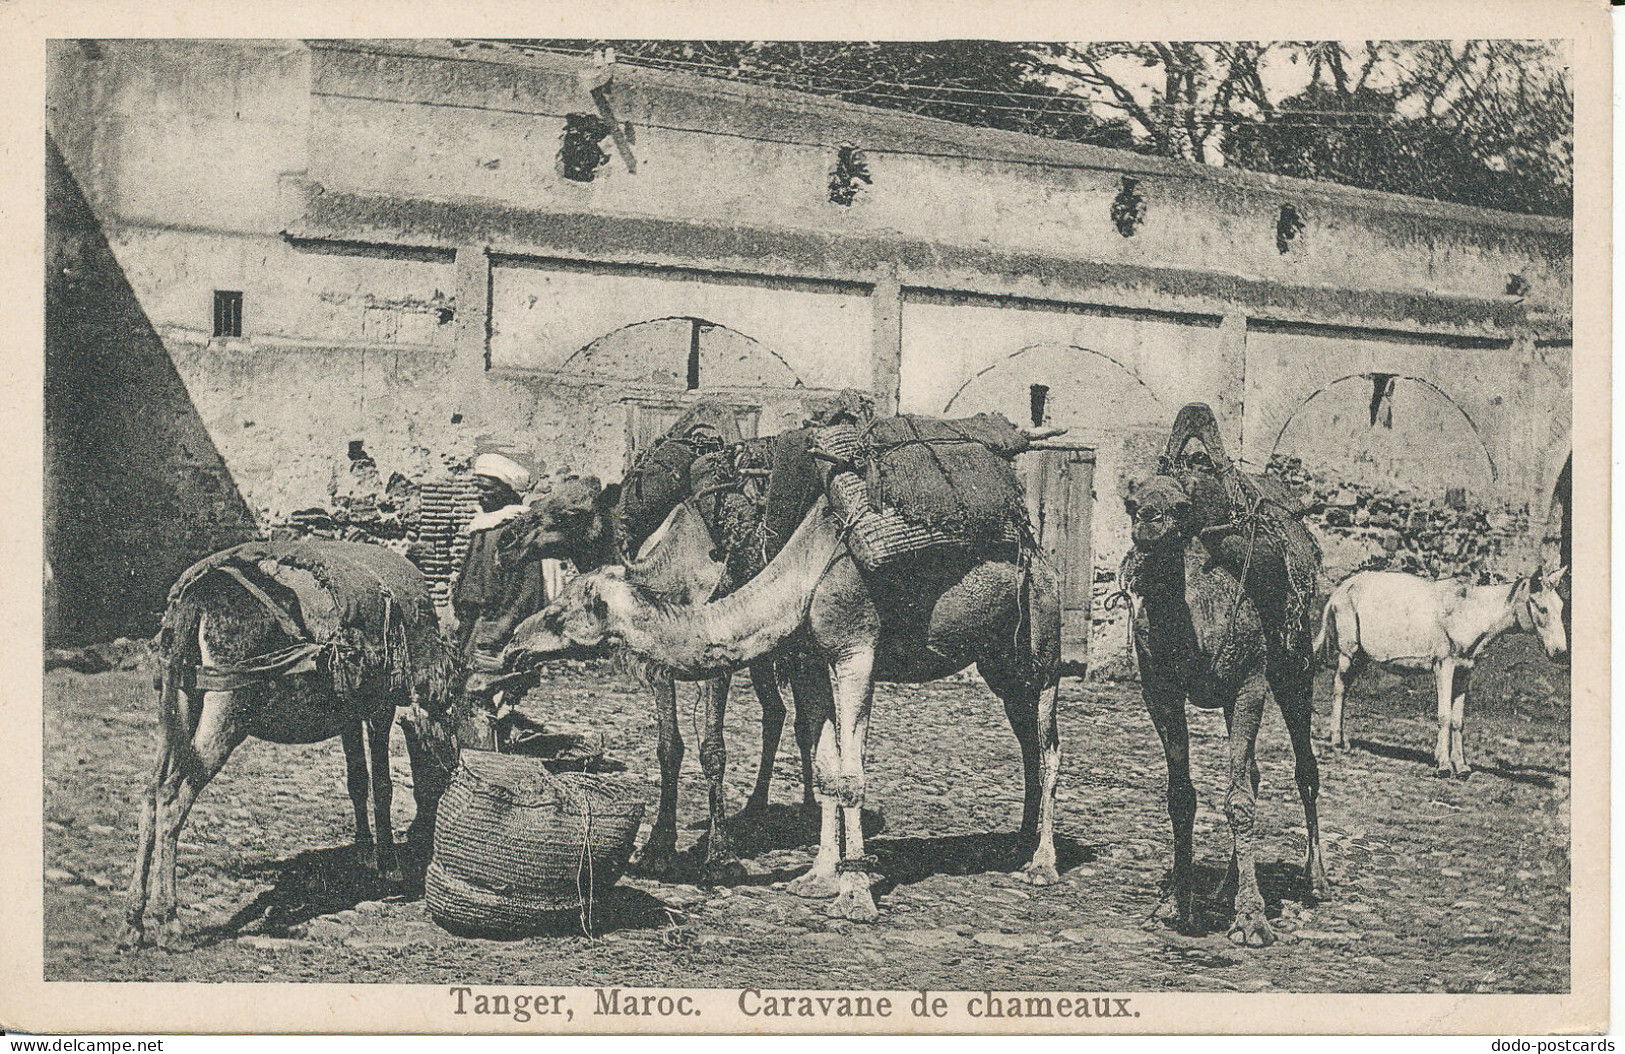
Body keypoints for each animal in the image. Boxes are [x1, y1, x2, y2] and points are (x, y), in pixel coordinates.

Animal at [118, 539, 464, 948]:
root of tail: (194, 599)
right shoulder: (380, 707)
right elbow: (382, 785)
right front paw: (387, 864)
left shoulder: (348, 713)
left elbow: (357, 782)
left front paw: (364, 852)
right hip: (227, 710)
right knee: (173, 800)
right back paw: (168, 918)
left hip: (179, 703)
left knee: (151, 795)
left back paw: (133, 920)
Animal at [507, 496, 1066, 922]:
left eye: (559, 613)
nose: (515, 642)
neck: (798, 583)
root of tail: (1045, 557)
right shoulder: (809, 661)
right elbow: (827, 769)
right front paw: (817, 878)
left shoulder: (855, 651)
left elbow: (850, 774)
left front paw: (854, 896)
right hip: (998, 660)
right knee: (1027, 746)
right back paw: (1018, 844)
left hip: (1040, 647)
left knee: (1050, 747)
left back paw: (1043, 864)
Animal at [1124, 477, 1326, 948]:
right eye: (1130, 503)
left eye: (1182, 507)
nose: (1148, 521)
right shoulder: (1159, 691)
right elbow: (1181, 796)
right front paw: (1176, 905)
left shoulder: (1249, 681)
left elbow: (1239, 801)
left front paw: (1252, 920)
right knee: (1253, 772)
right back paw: (1223, 887)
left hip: (1294, 667)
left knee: (1305, 767)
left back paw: (1316, 879)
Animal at [1313, 561, 1566, 776]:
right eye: (1541, 607)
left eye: (1561, 607)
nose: (1561, 652)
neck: (1471, 613)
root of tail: (1341, 588)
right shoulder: (1444, 664)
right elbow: (1444, 715)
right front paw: (1444, 764)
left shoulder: (1465, 669)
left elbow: (1457, 720)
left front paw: (1461, 766)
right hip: (1350, 651)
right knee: (1339, 688)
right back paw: (1337, 740)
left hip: (1362, 655)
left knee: (1344, 687)